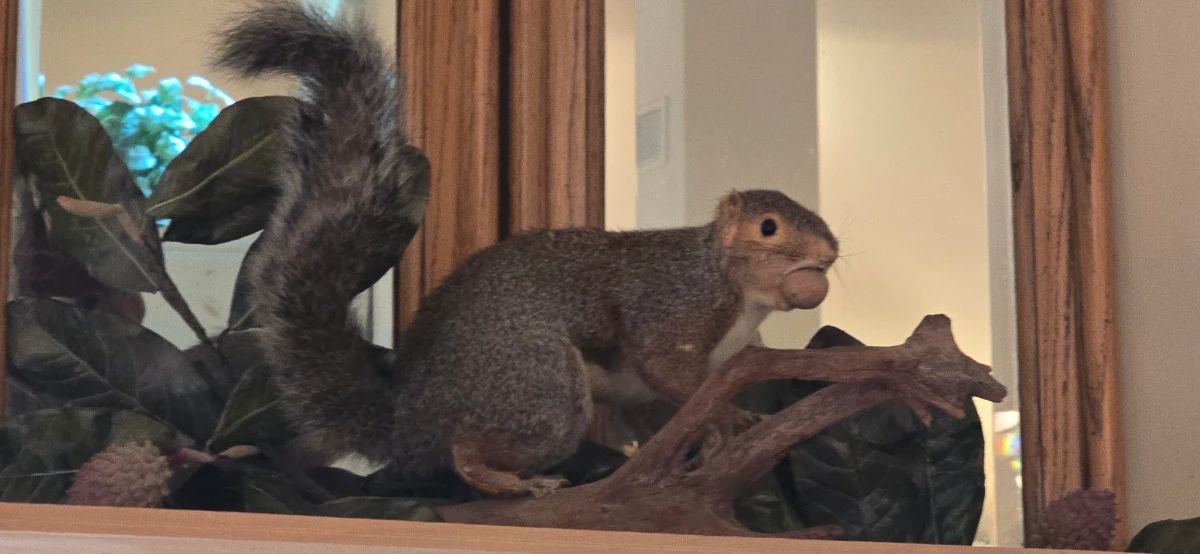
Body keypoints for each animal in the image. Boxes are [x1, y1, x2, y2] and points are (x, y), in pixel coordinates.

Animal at [223, 2, 839, 498]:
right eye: (768, 228)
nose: (829, 253)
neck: (736, 289)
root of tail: (411, 421)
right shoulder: (674, 304)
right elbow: (668, 368)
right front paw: (731, 415)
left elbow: (671, 411)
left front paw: (711, 439)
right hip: (540, 386)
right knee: (468, 448)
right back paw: (515, 481)